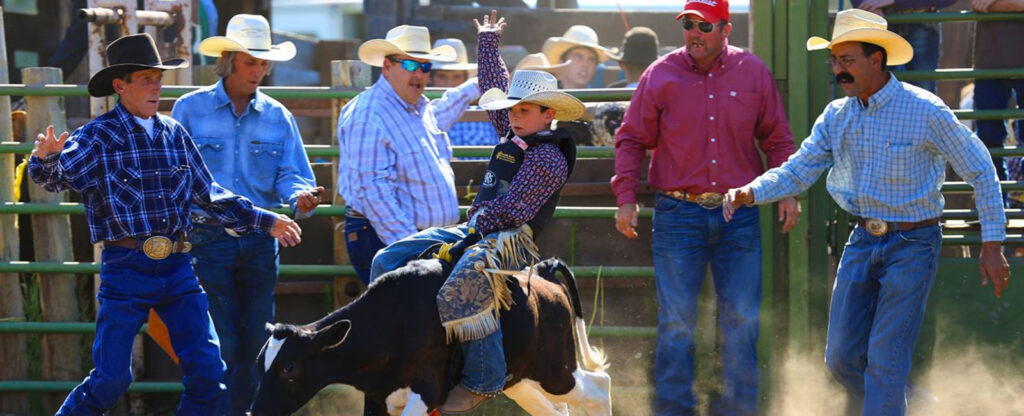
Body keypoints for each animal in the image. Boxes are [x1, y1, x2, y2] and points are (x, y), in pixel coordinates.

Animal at [250, 258, 610, 413]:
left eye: (289, 368)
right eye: (259, 364)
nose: (255, 412)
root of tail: (544, 274)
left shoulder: (426, 393)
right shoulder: (379, 399)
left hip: (556, 371)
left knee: (599, 387)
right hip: (520, 381)